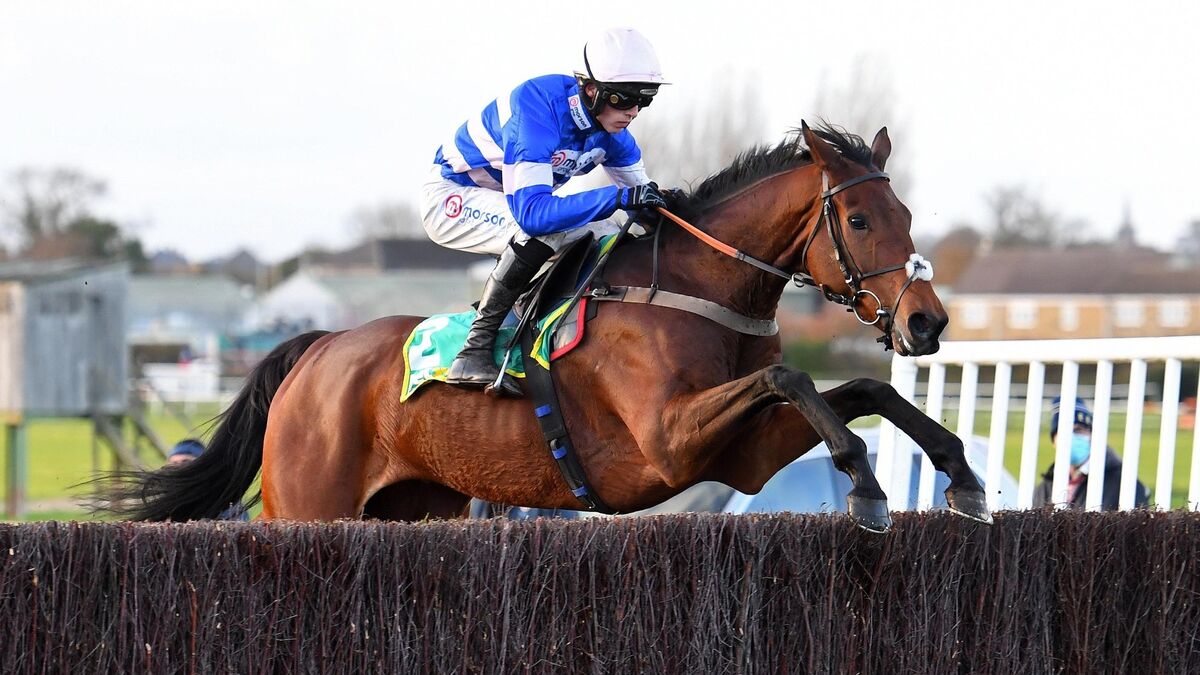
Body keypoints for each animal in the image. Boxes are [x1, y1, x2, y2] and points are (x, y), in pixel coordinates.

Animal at [100, 122, 989, 532]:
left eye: (908, 216)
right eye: (861, 220)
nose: (926, 320)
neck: (696, 290)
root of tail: (316, 348)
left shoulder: (737, 454)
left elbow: (859, 386)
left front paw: (960, 473)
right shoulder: (668, 438)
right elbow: (792, 373)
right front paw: (867, 484)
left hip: (414, 506)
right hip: (308, 509)